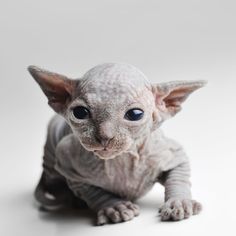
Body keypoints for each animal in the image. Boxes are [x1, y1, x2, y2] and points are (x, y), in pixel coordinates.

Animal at [27, 62, 205, 225]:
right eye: (80, 113)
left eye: (135, 114)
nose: (105, 137)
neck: (123, 159)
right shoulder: (68, 162)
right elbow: (92, 192)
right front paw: (114, 207)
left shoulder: (169, 153)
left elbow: (178, 178)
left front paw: (179, 202)